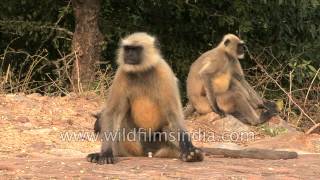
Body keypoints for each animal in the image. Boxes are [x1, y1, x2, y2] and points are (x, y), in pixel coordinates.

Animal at [87, 32, 202, 165]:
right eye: (128, 49)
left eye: (136, 49)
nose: (129, 55)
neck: (141, 72)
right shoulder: (121, 73)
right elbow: (113, 113)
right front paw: (105, 153)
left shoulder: (164, 71)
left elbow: (173, 113)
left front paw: (189, 151)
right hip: (133, 145)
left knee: (167, 127)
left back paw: (192, 155)